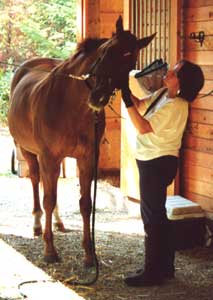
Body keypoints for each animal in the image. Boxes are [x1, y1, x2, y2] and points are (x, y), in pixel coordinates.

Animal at [7, 17, 155, 264]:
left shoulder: (87, 159)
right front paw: (50, 250)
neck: (70, 107)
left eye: (131, 60)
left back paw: (58, 222)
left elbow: (85, 204)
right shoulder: (49, 157)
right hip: (27, 150)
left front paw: (89, 254)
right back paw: (38, 225)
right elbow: (48, 198)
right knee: (37, 182)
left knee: (49, 186)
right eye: (105, 52)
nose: (99, 96)